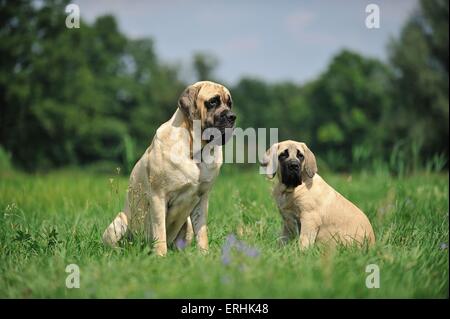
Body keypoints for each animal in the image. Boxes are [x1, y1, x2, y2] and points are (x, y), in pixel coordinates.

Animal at [101, 81, 236, 256]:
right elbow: (160, 232)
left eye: (229, 103)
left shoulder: (202, 200)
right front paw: (161, 256)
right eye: (213, 101)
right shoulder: (158, 197)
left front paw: (204, 254)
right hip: (119, 223)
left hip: (187, 226)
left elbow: (202, 232)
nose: (232, 116)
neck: (194, 152)